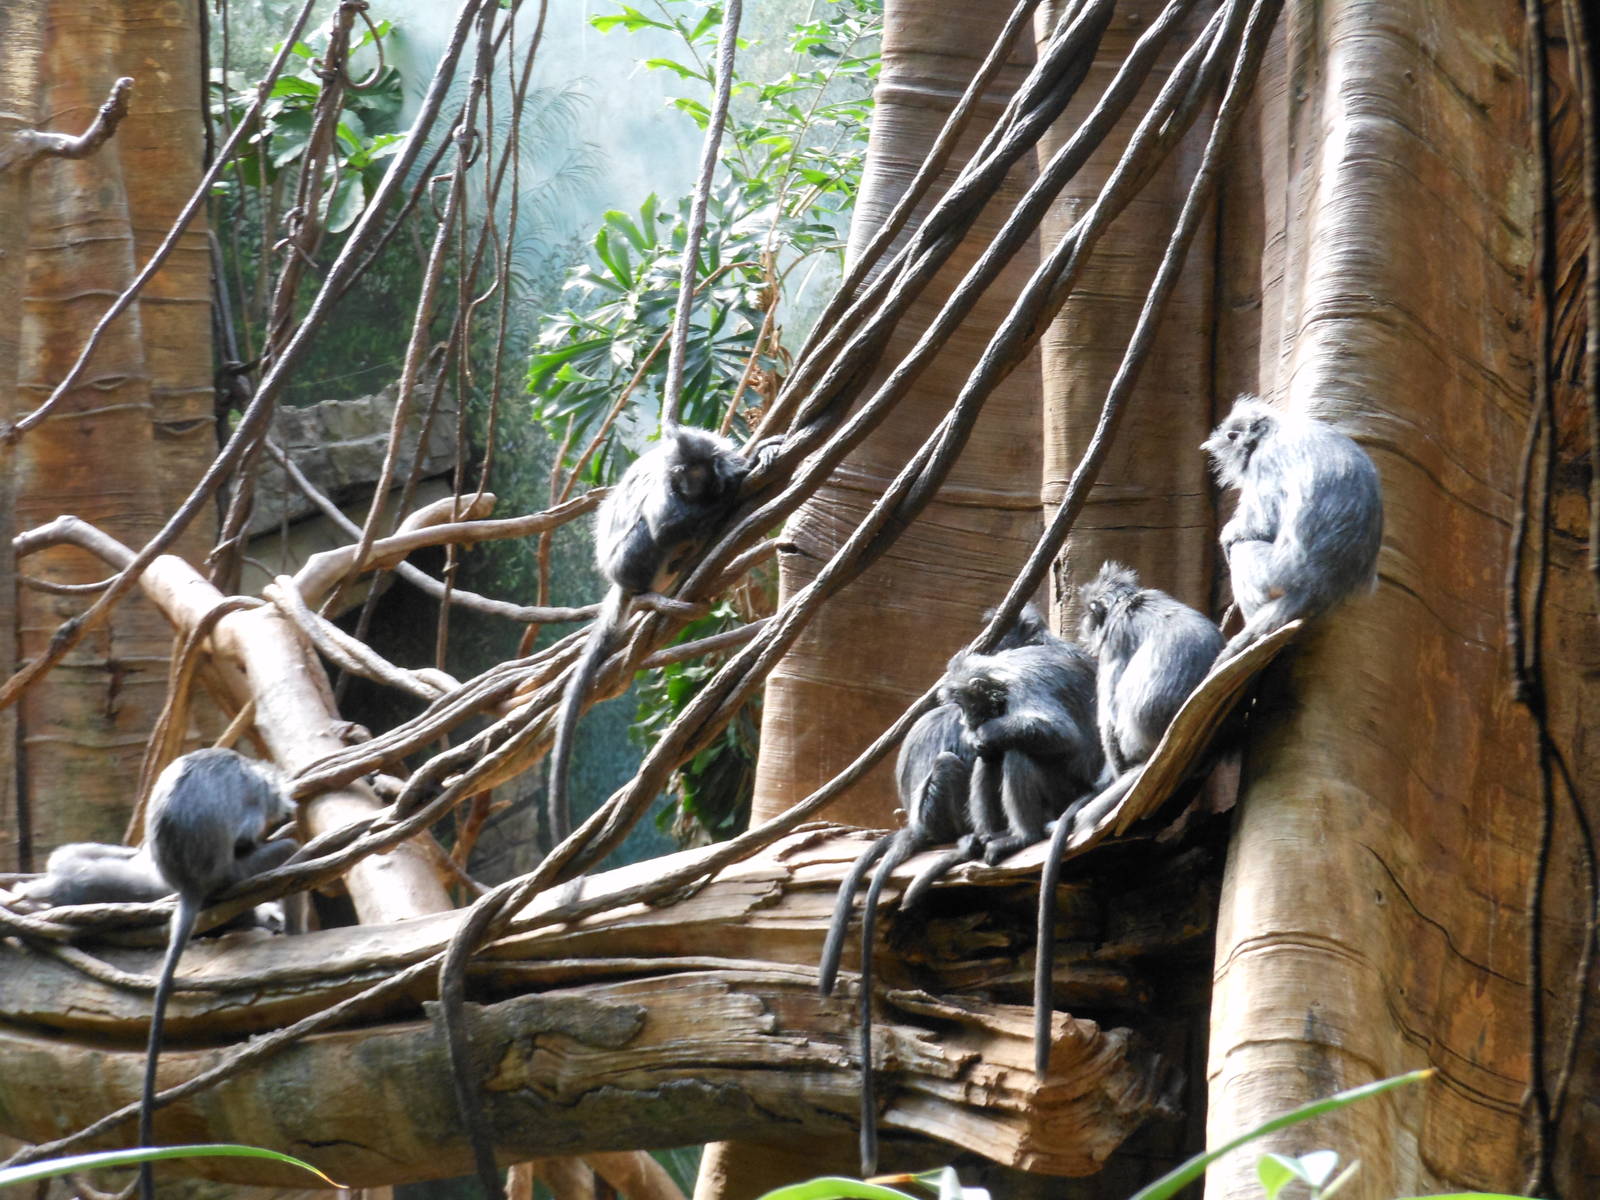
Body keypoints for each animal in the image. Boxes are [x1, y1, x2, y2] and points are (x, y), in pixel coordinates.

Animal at [137, 748, 297, 1200]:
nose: (285, 810)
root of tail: (190, 886)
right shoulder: (255, 800)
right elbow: (250, 835)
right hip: (231, 873)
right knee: (280, 850)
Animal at [1202, 395, 1384, 659]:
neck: (1274, 430)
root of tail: (1323, 586)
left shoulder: (1264, 461)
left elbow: (1264, 524)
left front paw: (1229, 535)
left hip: (1276, 573)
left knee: (1243, 549)